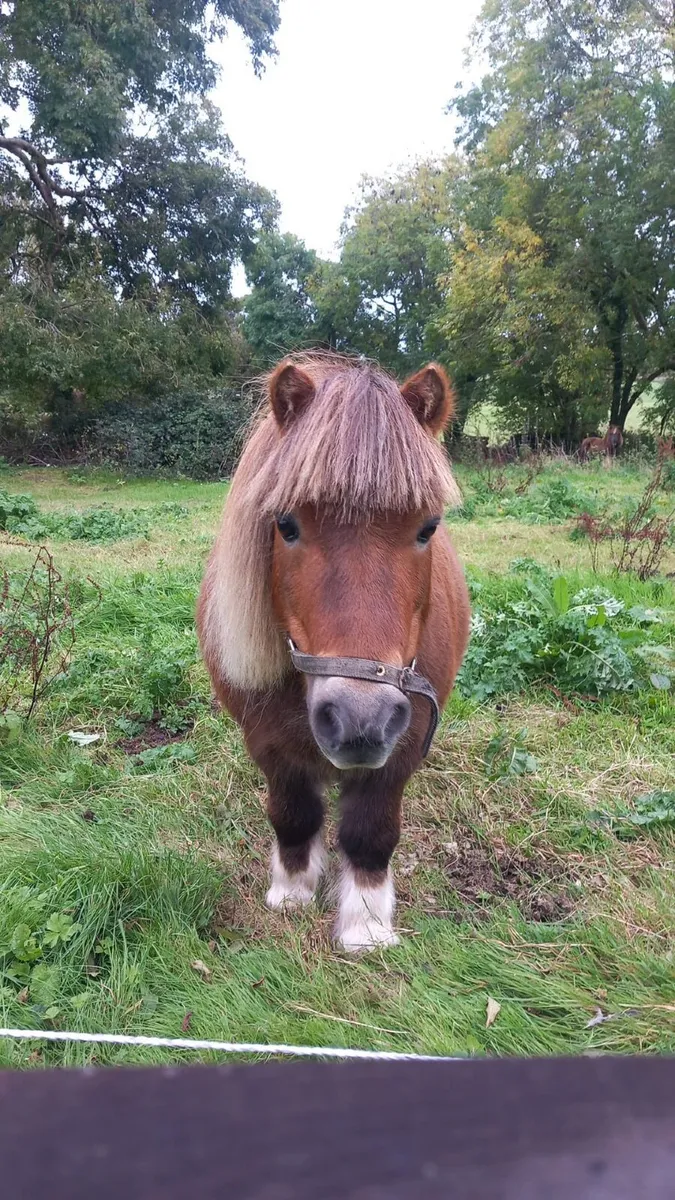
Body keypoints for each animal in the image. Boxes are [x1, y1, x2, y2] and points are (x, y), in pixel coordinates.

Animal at [197, 354, 470, 952]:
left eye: (428, 528)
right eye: (286, 524)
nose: (359, 720)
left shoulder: (400, 749)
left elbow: (370, 832)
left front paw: (365, 924)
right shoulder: (269, 746)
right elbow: (293, 816)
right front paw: (292, 893)